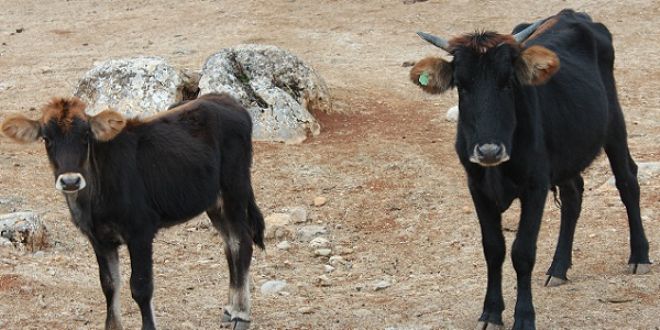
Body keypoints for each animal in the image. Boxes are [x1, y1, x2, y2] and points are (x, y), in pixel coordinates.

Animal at [3, 93, 266, 330]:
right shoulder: (98, 239)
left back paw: (241, 315)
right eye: (46, 138)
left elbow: (140, 286)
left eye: (86, 136)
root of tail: (228, 101)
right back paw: (230, 309)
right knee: (230, 245)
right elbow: (109, 284)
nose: (70, 181)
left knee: (243, 242)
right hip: (214, 202)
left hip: (235, 191)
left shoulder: (140, 232)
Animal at [410, 9, 652, 328]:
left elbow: (522, 252)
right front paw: (491, 312)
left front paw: (524, 316)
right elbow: (493, 249)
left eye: (508, 82)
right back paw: (559, 268)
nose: (489, 150)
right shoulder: (477, 187)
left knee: (627, 181)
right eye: (462, 85)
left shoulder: (535, 187)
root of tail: (572, 14)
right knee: (573, 196)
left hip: (614, 124)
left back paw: (640, 255)